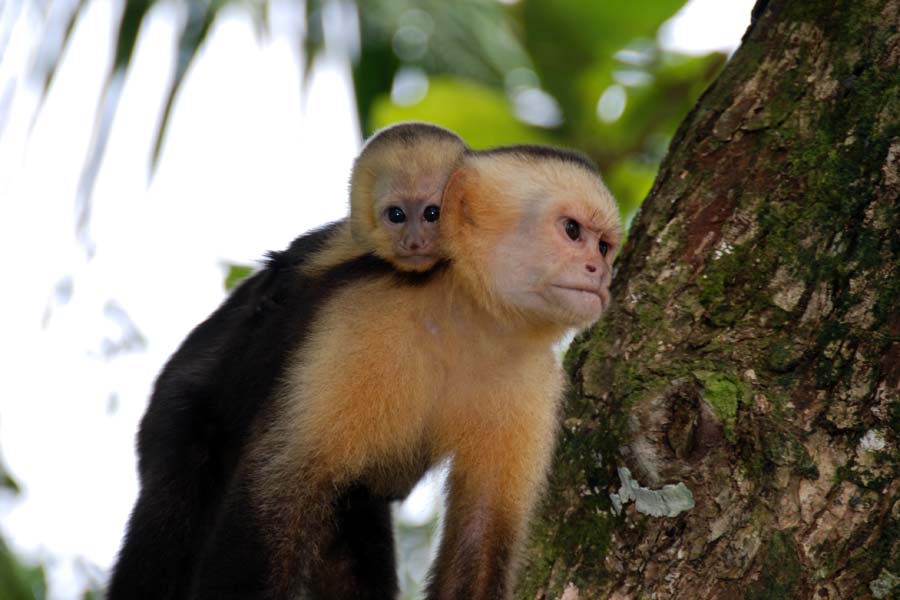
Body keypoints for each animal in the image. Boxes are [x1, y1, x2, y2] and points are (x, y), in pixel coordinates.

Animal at [182, 146, 624, 600]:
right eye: (572, 230)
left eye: (605, 247)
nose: (601, 272)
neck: (467, 324)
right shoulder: (362, 316)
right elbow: (277, 491)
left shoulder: (534, 381)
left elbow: (481, 534)